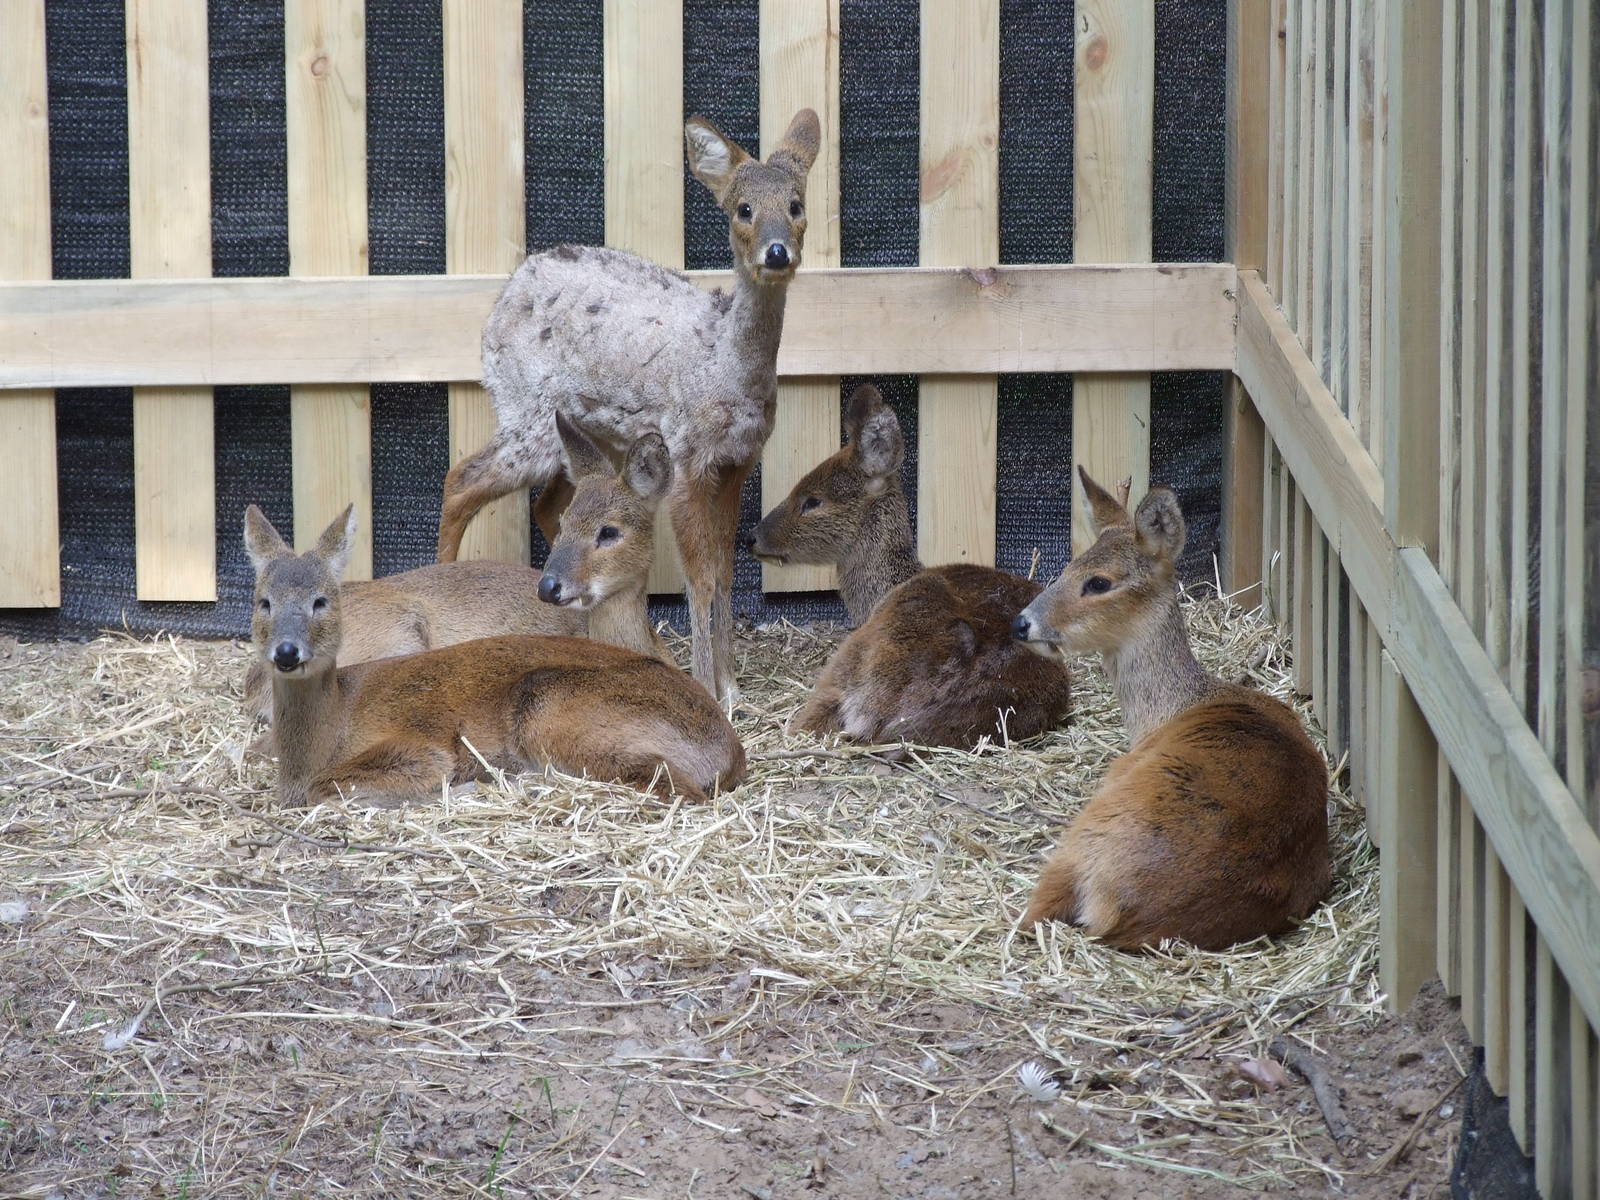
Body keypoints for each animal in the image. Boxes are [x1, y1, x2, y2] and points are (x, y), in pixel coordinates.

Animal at [245, 505, 744, 807]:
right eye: (262, 601)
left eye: (321, 601)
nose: (286, 651)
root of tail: (729, 750)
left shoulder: (416, 747)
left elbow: (329, 786)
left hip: (552, 703)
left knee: (669, 784)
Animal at [435, 108, 822, 705]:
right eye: (743, 209)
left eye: (797, 204)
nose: (776, 252)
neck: (726, 369)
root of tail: (508, 292)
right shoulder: (686, 455)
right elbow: (699, 577)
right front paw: (709, 688)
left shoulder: (738, 461)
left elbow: (726, 571)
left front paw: (732, 687)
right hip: (527, 413)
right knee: (462, 479)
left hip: (583, 434)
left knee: (547, 504)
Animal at [1012, 468, 1330, 951]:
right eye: (1066, 568)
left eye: (1098, 582)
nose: (1021, 622)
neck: (1174, 707)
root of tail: (1115, 906)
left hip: (1084, 836)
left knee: (1030, 914)